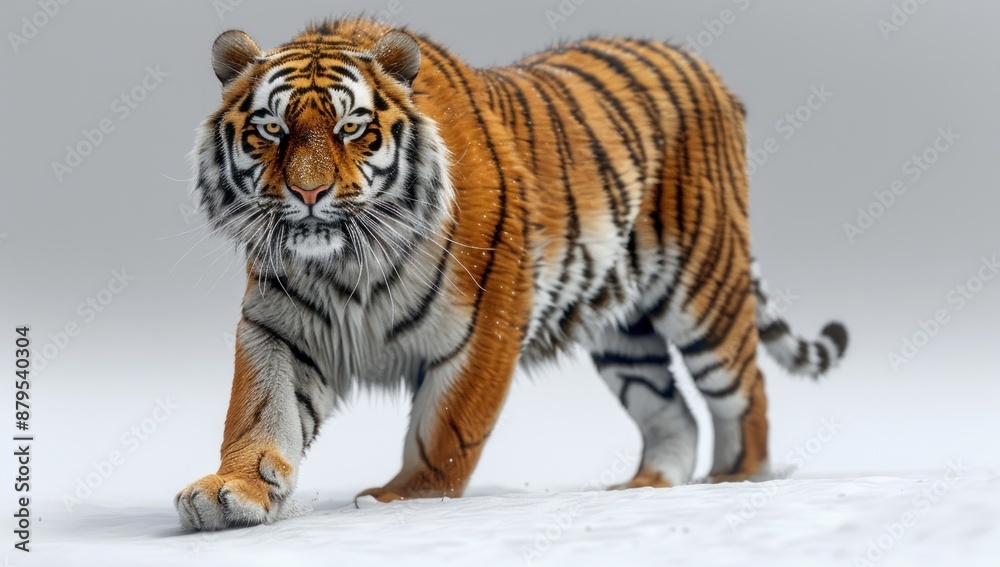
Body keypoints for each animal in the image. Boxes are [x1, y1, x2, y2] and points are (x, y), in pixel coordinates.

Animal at [175, 17, 848, 531]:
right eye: (271, 128)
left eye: (351, 128)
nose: (309, 193)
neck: (346, 263)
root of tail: (703, 67)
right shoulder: (281, 327)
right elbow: (259, 411)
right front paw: (230, 492)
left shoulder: (486, 322)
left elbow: (445, 432)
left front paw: (400, 499)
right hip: (623, 330)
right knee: (673, 410)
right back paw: (646, 487)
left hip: (706, 287)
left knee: (747, 392)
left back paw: (736, 479)